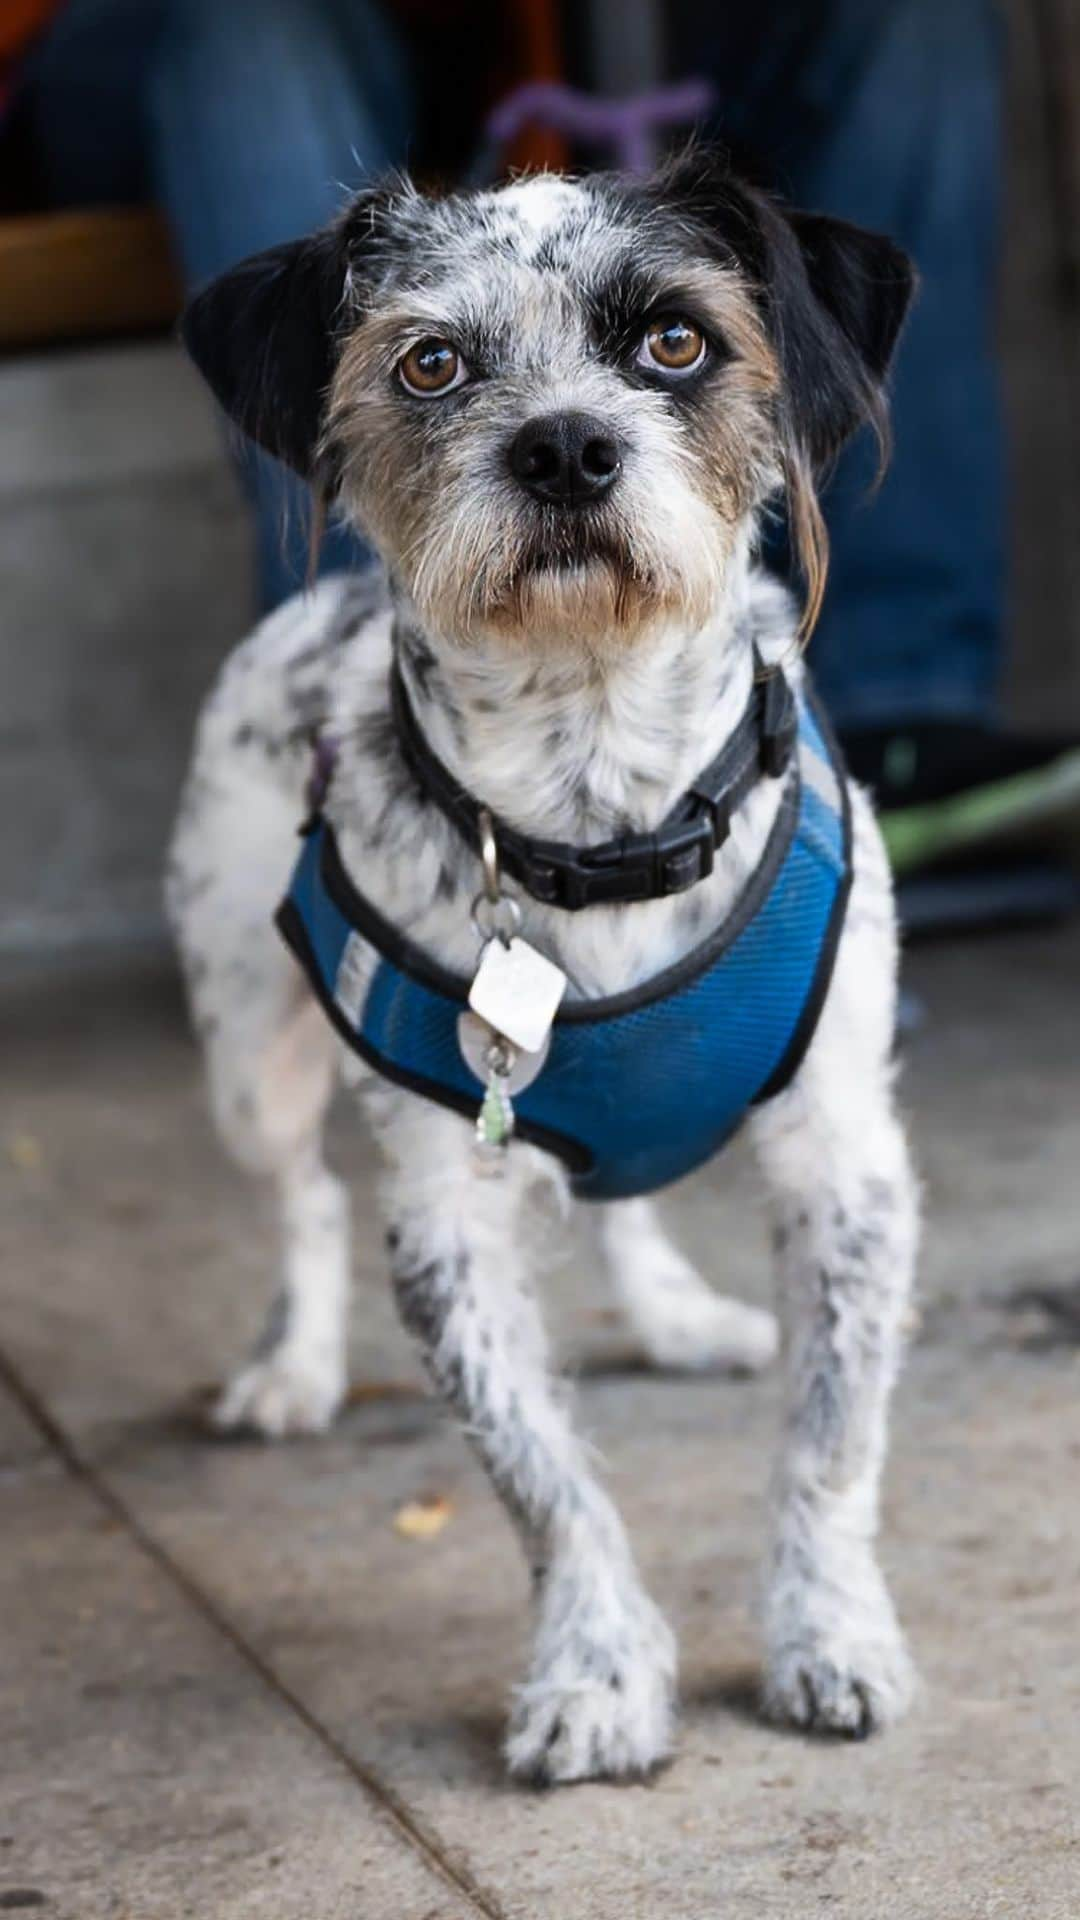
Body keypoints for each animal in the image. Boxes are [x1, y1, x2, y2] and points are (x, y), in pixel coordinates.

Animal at [166, 149, 914, 1781]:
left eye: (677, 341)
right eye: (430, 363)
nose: (566, 447)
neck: (597, 814)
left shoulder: (847, 1165)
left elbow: (831, 1447)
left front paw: (830, 1635)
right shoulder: (446, 1219)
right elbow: (543, 1480)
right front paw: (596, 1673)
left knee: (623, 1197)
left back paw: (679, 1318)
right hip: (247, 1054)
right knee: (305, 1198)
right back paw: (294, 1369)